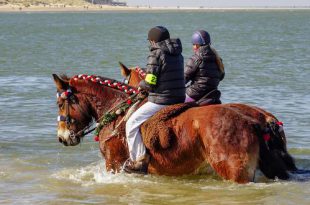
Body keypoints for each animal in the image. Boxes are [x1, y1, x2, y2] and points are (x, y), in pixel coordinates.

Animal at [52, 71, 296, 183]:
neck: (116, 111)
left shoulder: (113, 164)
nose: (62, 138)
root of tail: (254, 121)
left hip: (236, 173)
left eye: (61, 103)